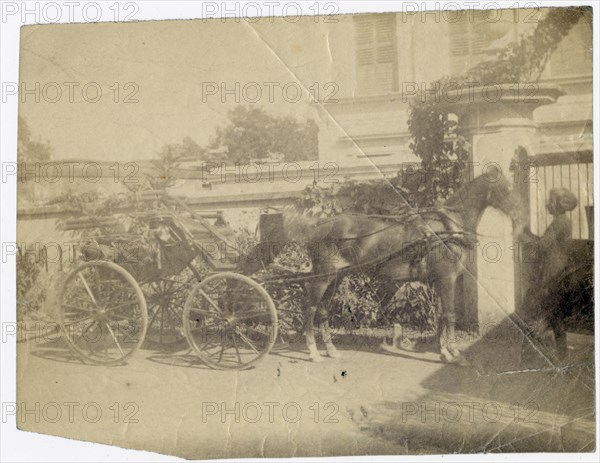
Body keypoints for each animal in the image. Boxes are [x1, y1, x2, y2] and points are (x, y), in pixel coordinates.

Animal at [274, 172, 528, 364]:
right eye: (506, 188)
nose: (521, 214)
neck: (446, 228)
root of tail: (318, 225)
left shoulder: (439, 280)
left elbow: (441, 316)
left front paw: (443, 351)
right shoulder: (447, 278)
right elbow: (450, 315)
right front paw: (455, 354)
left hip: (336, 277)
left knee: (323, 310)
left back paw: (330, 350)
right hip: (322, 276)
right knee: (310, 308)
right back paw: (313, 352)